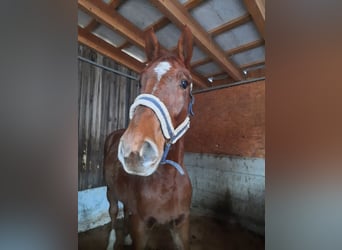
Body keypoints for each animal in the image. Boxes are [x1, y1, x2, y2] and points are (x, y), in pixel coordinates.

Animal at [104, 26, 194, 249]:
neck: (167, 183)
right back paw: (112, 241)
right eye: (139, 82)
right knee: (113, 213)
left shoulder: (182, 226)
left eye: (184, 83)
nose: (134, 149)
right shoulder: (141, 227)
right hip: (110, 191)